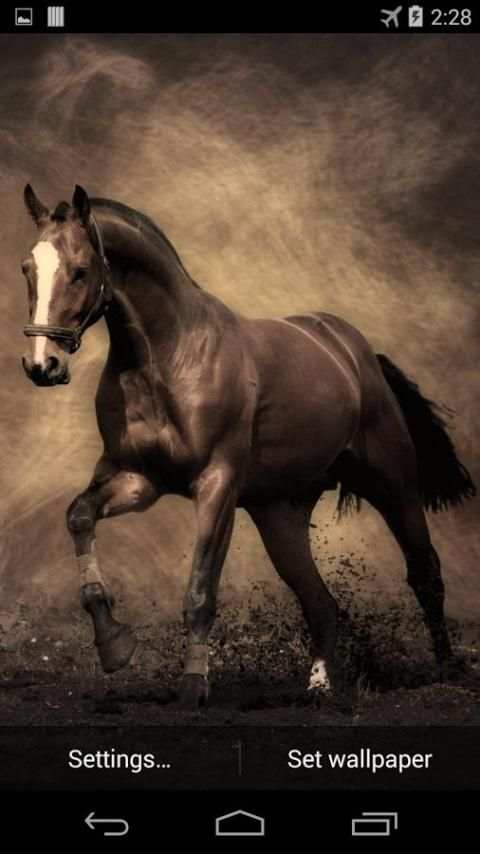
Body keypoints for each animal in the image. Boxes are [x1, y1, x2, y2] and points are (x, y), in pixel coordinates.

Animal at [20, 184, 475, 708]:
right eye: (27, 268)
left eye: (79, 270)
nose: (42, 365)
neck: (168, 357)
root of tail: (356, 353)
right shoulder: (138, 479)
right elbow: (79, 516)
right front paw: (115, 646)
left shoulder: (217, 486)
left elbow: (200, 591)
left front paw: (193, 687)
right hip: (280, 514)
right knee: (320, 602)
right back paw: (320, 687)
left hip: (392, 485)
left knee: (425, 573)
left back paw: (444, 671)